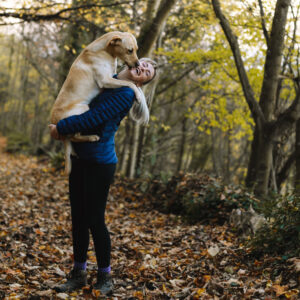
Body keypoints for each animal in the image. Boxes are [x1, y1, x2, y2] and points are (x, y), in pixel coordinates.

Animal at [51, 31, 144, 175]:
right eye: (130, 50)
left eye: (136, 49)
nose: (138, 64)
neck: (105, 51)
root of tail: (55, 122)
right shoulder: (105, 80)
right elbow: (129, 83)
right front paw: (138, 95)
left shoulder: (112, 77)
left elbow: (127, 82)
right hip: (83, 108)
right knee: (75, 136)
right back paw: (91, 137)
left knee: (72, 138)